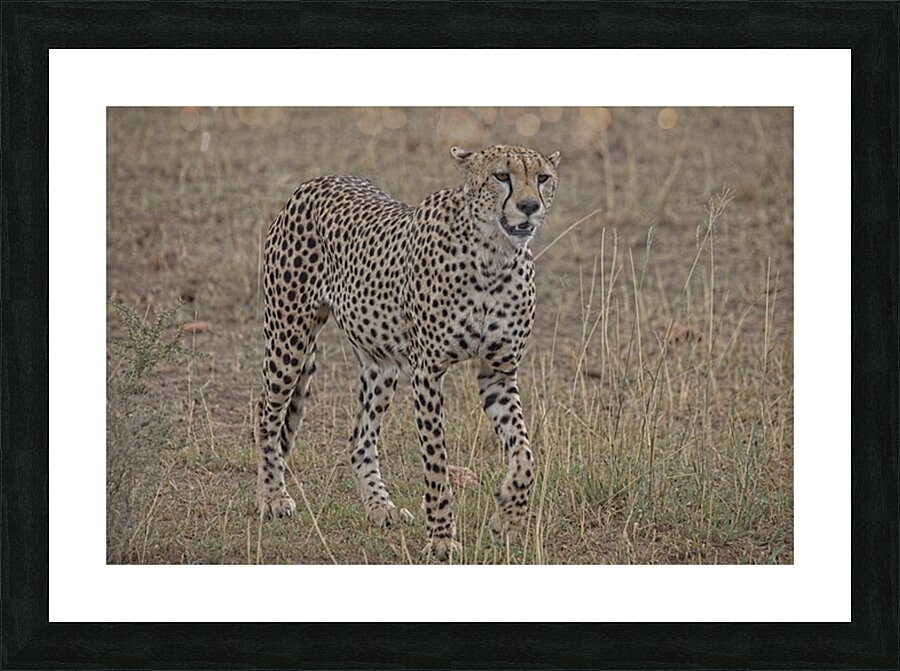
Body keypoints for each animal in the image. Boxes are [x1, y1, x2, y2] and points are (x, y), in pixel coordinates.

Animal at [256, 144, 561, 560]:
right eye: (501, 176)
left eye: (542, 177)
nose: (529, 206)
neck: (494, 256)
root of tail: (318, 180)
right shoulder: (428, 371)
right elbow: (435, 461)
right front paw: (442, 537)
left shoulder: (497, 371)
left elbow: (526, 454)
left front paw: (509, 516)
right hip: (288, 338)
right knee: (267, 416)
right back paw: (272, 496)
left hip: (380, 363)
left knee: (360, 439)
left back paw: (379, 506)